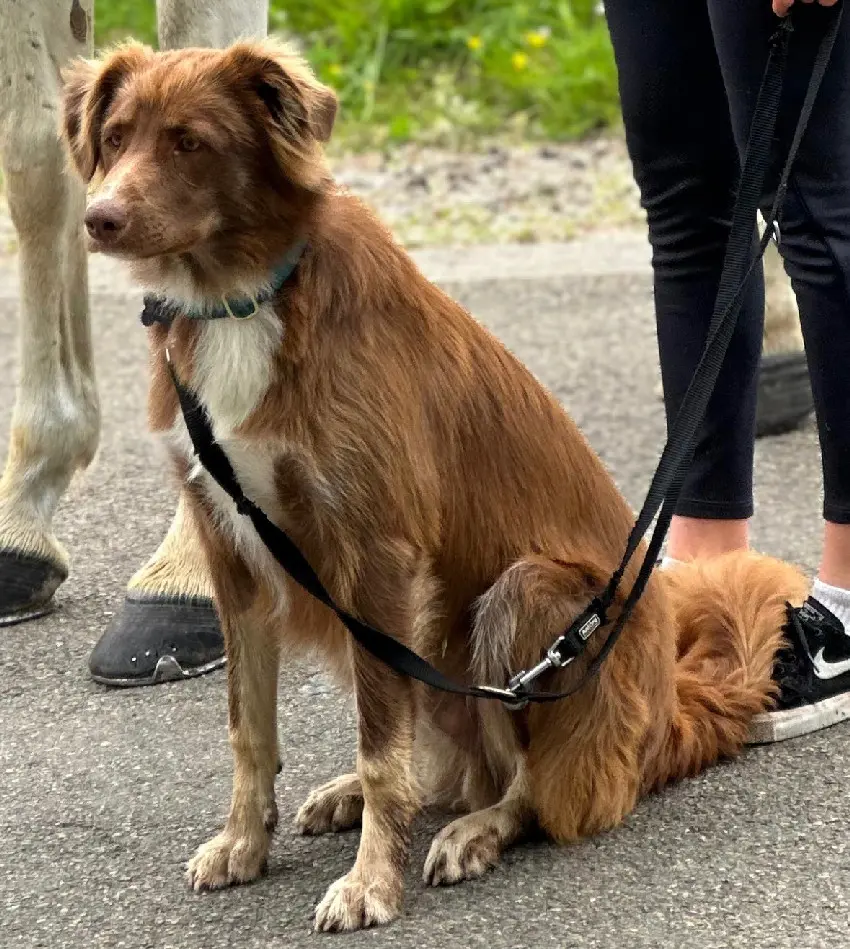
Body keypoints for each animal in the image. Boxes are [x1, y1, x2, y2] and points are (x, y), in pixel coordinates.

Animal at [61, 40, 808, 928]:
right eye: (115, 135)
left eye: (189, 142)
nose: (98, 218)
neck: (242, 297)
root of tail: (669, 712)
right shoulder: (231, 550)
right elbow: (250, 726)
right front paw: (245, 841)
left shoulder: (377, 551)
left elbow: (384, 748)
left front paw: (370, 882)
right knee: (444, 761)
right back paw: (357, 796)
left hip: (525, 599)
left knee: (528, 786)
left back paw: (477, 829)